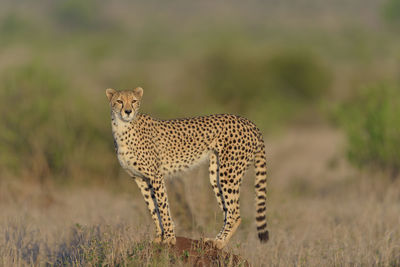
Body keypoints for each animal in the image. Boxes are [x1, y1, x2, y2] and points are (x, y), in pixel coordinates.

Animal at [106, 87, 268, 249]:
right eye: (119, 101)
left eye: (134, 101)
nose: (128, 111)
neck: (122, 127)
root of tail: (248, 122)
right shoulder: (140, 179)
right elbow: (153, 208)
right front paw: (159, 237)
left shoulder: (155, 176)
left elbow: (163, 207)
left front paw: (170, 238)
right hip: (216, 174)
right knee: (228, 211)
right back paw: (214, 240)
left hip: (228, 173)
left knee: (235, 213)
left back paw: (219, 242)